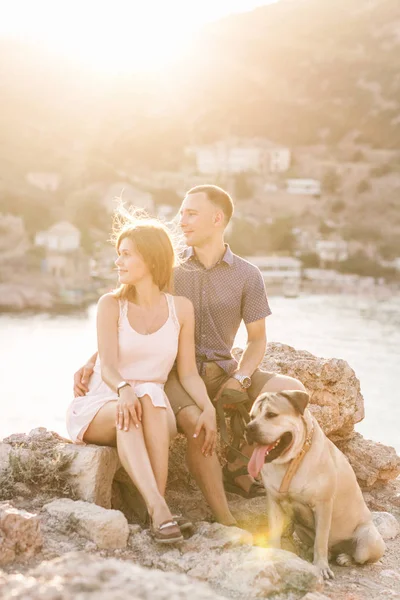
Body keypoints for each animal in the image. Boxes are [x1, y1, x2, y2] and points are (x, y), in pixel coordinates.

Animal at [245, 392, 386, 580]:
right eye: (251, 417)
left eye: (271, 415)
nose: (248, 428)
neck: (292, 461)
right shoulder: (274, 502)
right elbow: (274, 532)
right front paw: (275, 554)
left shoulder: (323, 505)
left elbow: (321, 540)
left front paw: (321, 567)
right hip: (301, 529)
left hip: (369, 539)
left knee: (358, 557)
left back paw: (345, 558)